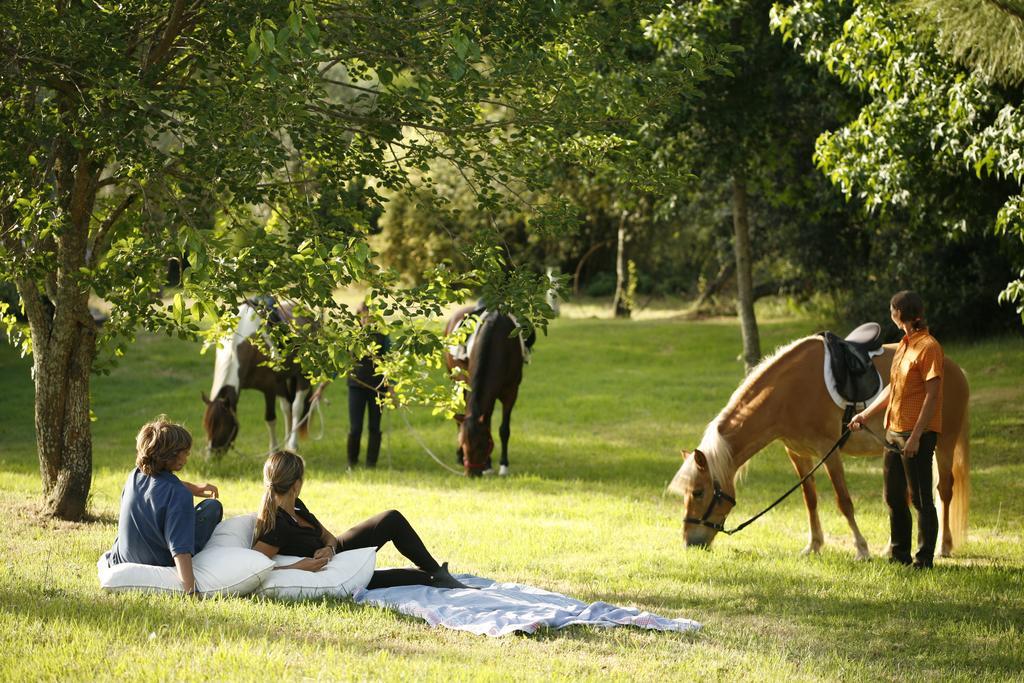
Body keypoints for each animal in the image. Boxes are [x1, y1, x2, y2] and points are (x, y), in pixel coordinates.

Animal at [201, 301, 317, 456]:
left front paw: (273, 450)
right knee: (287, 408)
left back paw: (292, 444)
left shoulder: (269, 389)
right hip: (282, 381)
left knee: (297, 407)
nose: (211, 458)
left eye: (223, 426)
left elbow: (270, 419)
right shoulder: (275, 385)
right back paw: (287, 443)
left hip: (302, 376)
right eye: (206, 426)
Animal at [667, 335, 970, 561]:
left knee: (944, 491)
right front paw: (814, 545)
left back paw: (944, 547)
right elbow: (810, 499)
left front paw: (861, 549)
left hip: (943, 444)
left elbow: (843, 501)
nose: (689, 542)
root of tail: (955, 368)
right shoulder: (798, 455)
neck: (788, 392)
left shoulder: (829, 450)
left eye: (698, 492)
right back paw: (890, 547)